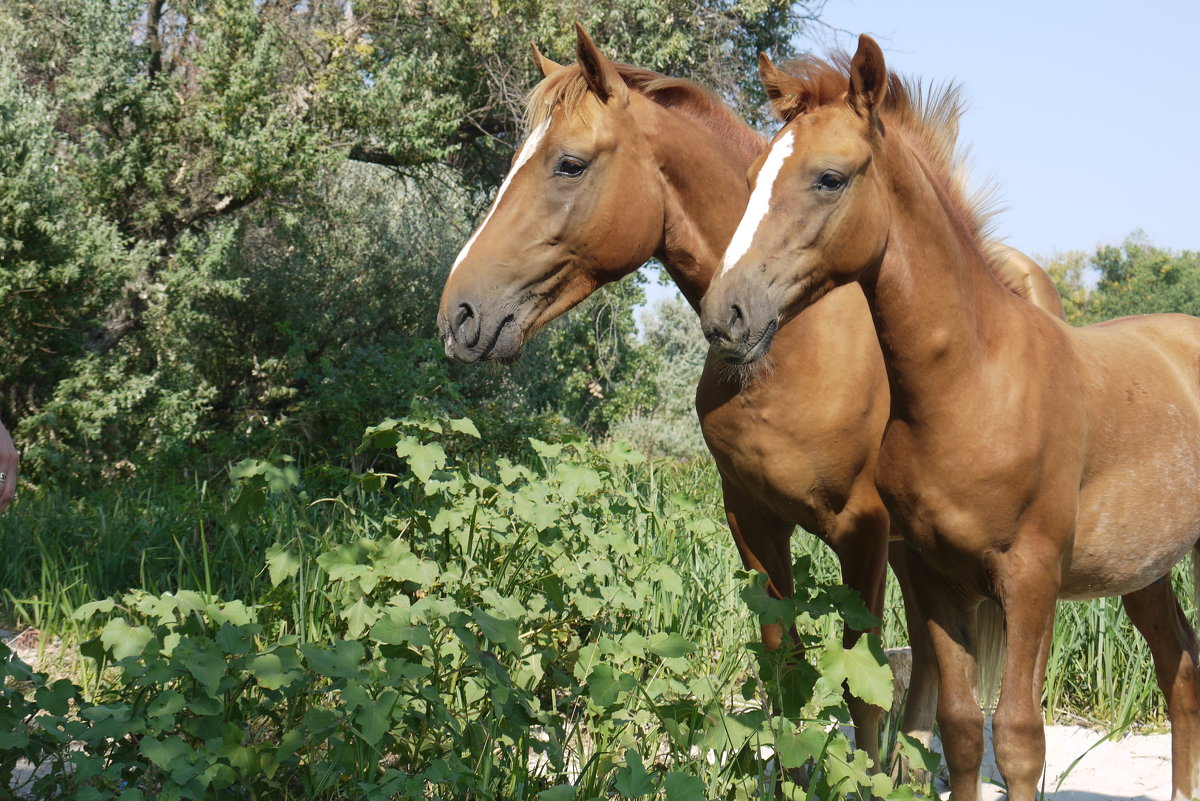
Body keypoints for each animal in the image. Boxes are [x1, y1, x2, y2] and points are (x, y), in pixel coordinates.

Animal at [436, 23, 1065, 767]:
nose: (459, 314)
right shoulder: (753, 519)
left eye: (568, 163)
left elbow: (861, 686)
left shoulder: (863, 531)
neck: (793, 349)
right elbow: (783, 673)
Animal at [700, 35, 1200, 801]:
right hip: (1145, 570)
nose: (726, 314)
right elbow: (962, 729)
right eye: (755, 174)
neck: (974, 388)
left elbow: (1019, 738)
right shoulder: (939, 578)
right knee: (1181, 671)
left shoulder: (1029, 578)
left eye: (829, 178)